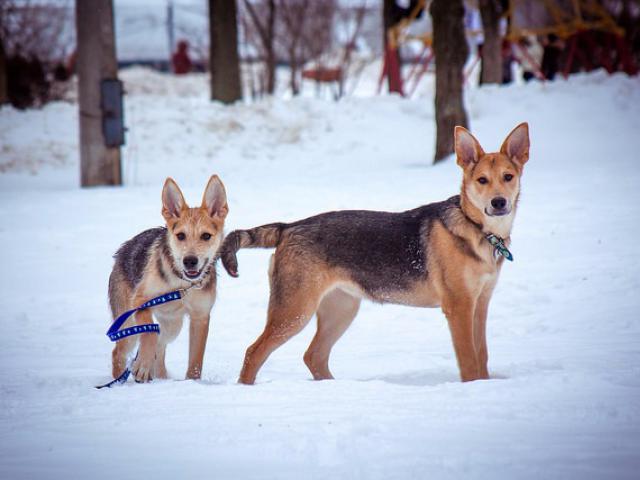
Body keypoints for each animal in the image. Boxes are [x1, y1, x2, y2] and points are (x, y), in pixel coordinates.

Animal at [109, 175, 229, 382]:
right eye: (180, 236)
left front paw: (192, 382)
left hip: (173, 325)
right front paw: (143, 366)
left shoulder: (200, 317)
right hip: (128, 324)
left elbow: (196, 361)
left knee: (160, 345)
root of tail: (122, 250)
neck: (181, 284)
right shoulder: (140, 301)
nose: (190, 261)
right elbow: (149, 333)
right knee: (119, 352)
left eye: (206, 236)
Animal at [220, 123, 528, 382]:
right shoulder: (459, 307)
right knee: (254, 352)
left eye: (508, 177)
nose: (499, 203)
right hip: (295, 310)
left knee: (313, 356)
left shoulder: (480, 304)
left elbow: (482, 356)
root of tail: (288, 227)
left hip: (341, 309)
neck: (478, 230)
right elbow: (469, 362)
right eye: (482, 180)